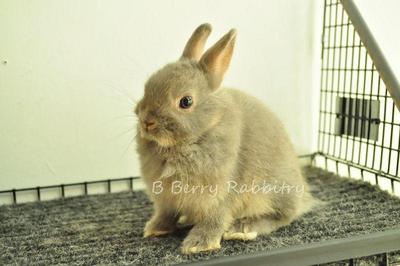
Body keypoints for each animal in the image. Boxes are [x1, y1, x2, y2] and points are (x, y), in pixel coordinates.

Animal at [134, 23, 316, 255]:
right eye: (147, 87)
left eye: (186, 101)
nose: (147, 122)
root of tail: (302, 197)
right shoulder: (166, 200)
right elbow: (166, 214)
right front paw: (155, 229)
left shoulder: (220, 194)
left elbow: (215, 218)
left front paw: (198, 245)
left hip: (272, 192)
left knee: (281, 217)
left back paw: (242, 228)